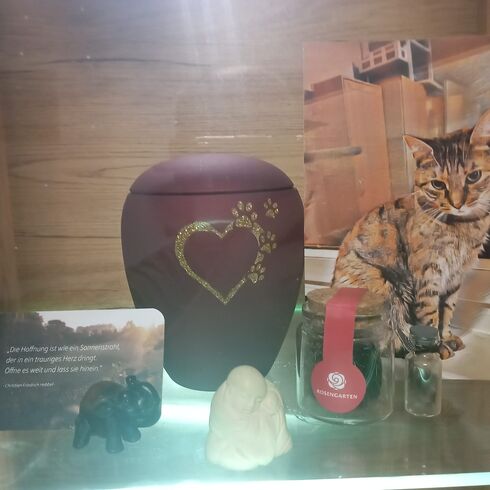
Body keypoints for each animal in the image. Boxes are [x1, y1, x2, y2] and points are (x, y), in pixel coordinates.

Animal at [332, 109, 490, 359]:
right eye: (437, 184)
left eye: (474, 176)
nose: (457, 204)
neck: (463, 227)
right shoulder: (428, 274)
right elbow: (431, 315)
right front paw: (436, 347)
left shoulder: (454, 278)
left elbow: (447, 310)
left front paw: (447, 337)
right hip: (387, 288)